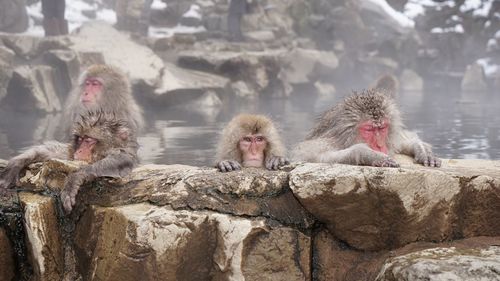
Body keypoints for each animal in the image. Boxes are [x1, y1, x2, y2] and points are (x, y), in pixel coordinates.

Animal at [0, 110, 139, 211]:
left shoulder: (124, 154)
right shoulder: (70, 154)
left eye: (89, 140)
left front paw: (74, 179)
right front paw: (16, 164)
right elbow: (53, 152)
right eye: (80, 139)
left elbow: (121, 159)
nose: (79, 151)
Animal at [292, 82, 442, 166]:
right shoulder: (328, 142)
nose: (380, 146)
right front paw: (366, 154)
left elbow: (401, 141)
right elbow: (310, 155)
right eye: (369, 130)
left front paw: (423, 150)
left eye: (382, 128)